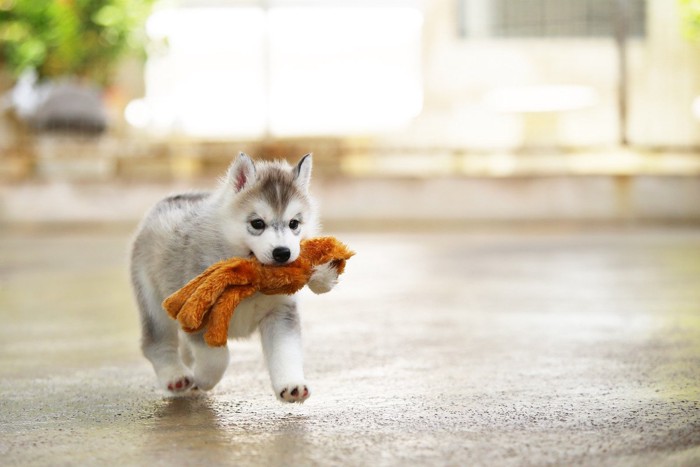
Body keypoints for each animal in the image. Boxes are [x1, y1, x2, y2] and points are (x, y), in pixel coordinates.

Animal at [131, 154, 340, 402]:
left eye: (294, 224)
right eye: (257, 223)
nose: (282, 253)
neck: (251, 284)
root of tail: (170, 200)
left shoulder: (279, 313)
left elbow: (285, 351)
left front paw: (291, 386)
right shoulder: (199, 314)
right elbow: (218, 359)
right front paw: (203, 379)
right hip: (153, 301)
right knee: (156, 343)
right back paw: (176, 377)